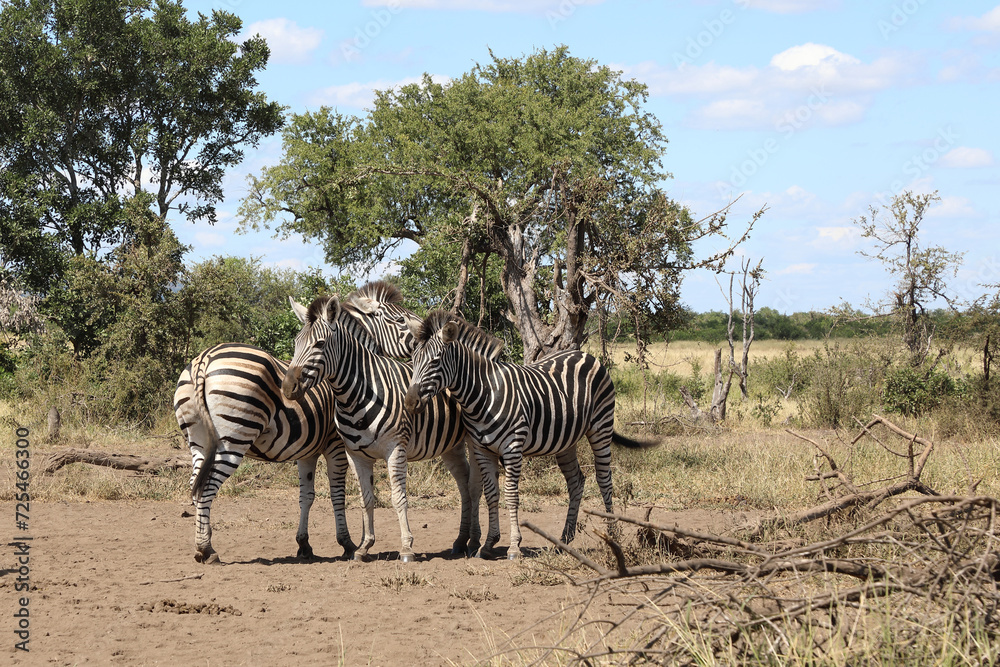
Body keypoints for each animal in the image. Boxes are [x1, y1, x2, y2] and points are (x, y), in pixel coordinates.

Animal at [176, 281, 422, 564]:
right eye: (401, 319)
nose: (427, 334)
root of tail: (205, 358)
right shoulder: (337, 446)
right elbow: (337, 494)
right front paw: (347, 543)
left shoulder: (307, 451)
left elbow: (307, 496)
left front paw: (304, 545)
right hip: (234, 438)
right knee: (206, 487)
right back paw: (207, 549)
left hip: (198, 441)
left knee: (195, 486)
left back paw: (202, 544)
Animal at [281, 295, 502, 562]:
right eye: (296, 343)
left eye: (320, 344)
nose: (287, 387)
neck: (358, 394)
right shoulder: (355, 455)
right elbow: (366, 499)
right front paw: (364, 547)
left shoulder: (395, 449)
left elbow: (398, 498)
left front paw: (406, 547)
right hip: (451, 445)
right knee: (464, 483)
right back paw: (461, 541)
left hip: (475, 440)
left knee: (474, 485)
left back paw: (475, 541)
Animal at [402, 310, 654, 560]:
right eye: (414, 359)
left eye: (435, 361)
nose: (410, 402)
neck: (484, 394)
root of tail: (584, 353)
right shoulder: (482, 450)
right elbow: (491, 494)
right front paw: (488, 544)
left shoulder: (512, 448)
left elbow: (511, 494)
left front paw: (514, 546)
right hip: (566, 441)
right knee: (576, 481)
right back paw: (565, 539)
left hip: (601, 426)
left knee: (604, 478)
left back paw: (612, 534)